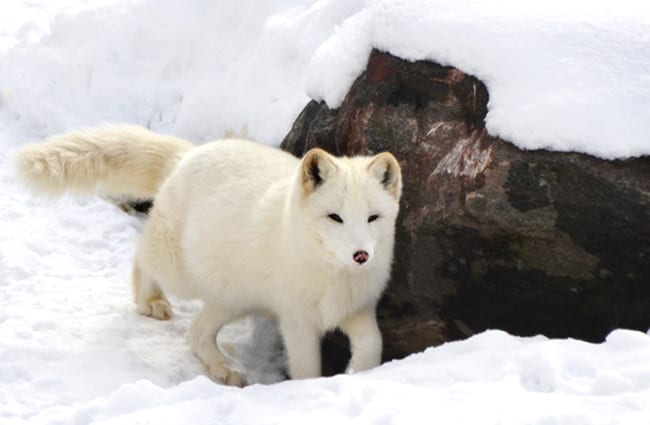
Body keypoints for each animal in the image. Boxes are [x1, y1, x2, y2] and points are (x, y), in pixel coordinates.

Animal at [16, 124, 400, 386]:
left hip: (233, 297)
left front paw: (359, 373)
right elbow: (306, 369)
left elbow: (373, 344)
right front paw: (309, 390)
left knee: (197, 333)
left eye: (373, 218)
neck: (333, 276)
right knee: (142, 257)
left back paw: (224, 370)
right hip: (181, 274)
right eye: (335, 217)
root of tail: (187, 156)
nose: (361, 255)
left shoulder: (358, 308)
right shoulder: (297, 319)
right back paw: (150, 300)